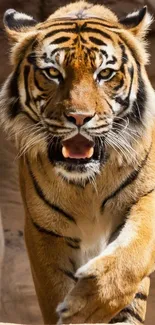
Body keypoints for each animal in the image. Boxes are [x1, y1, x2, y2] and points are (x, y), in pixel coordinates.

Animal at [0, 0, 155, 322]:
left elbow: (132, 255)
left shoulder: (146, 196)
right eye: (52, 72)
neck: (86, 185)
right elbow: (55, 289)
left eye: (105, 74)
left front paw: (90, 305)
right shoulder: (45, 229)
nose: (80, 118)